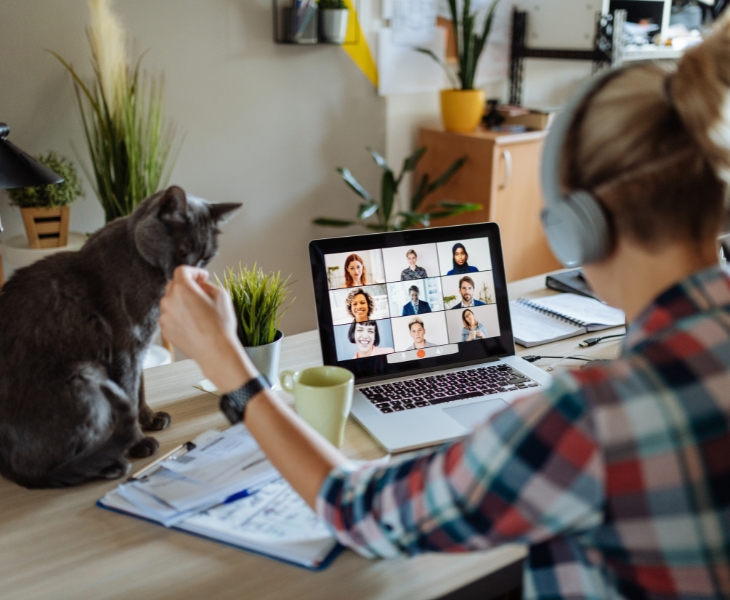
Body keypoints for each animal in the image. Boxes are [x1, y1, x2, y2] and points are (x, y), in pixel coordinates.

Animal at [0, 186, 240, 488]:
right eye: (182, 250)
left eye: (206, 257)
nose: (194, 271)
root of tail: (6, 466)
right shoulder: (126, 346)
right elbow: (128, 391)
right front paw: (139, 443)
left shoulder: (140, 345)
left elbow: (139, 388)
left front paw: (150, 418)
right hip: (85, 375)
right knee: (42, 468)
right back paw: (110, 462)